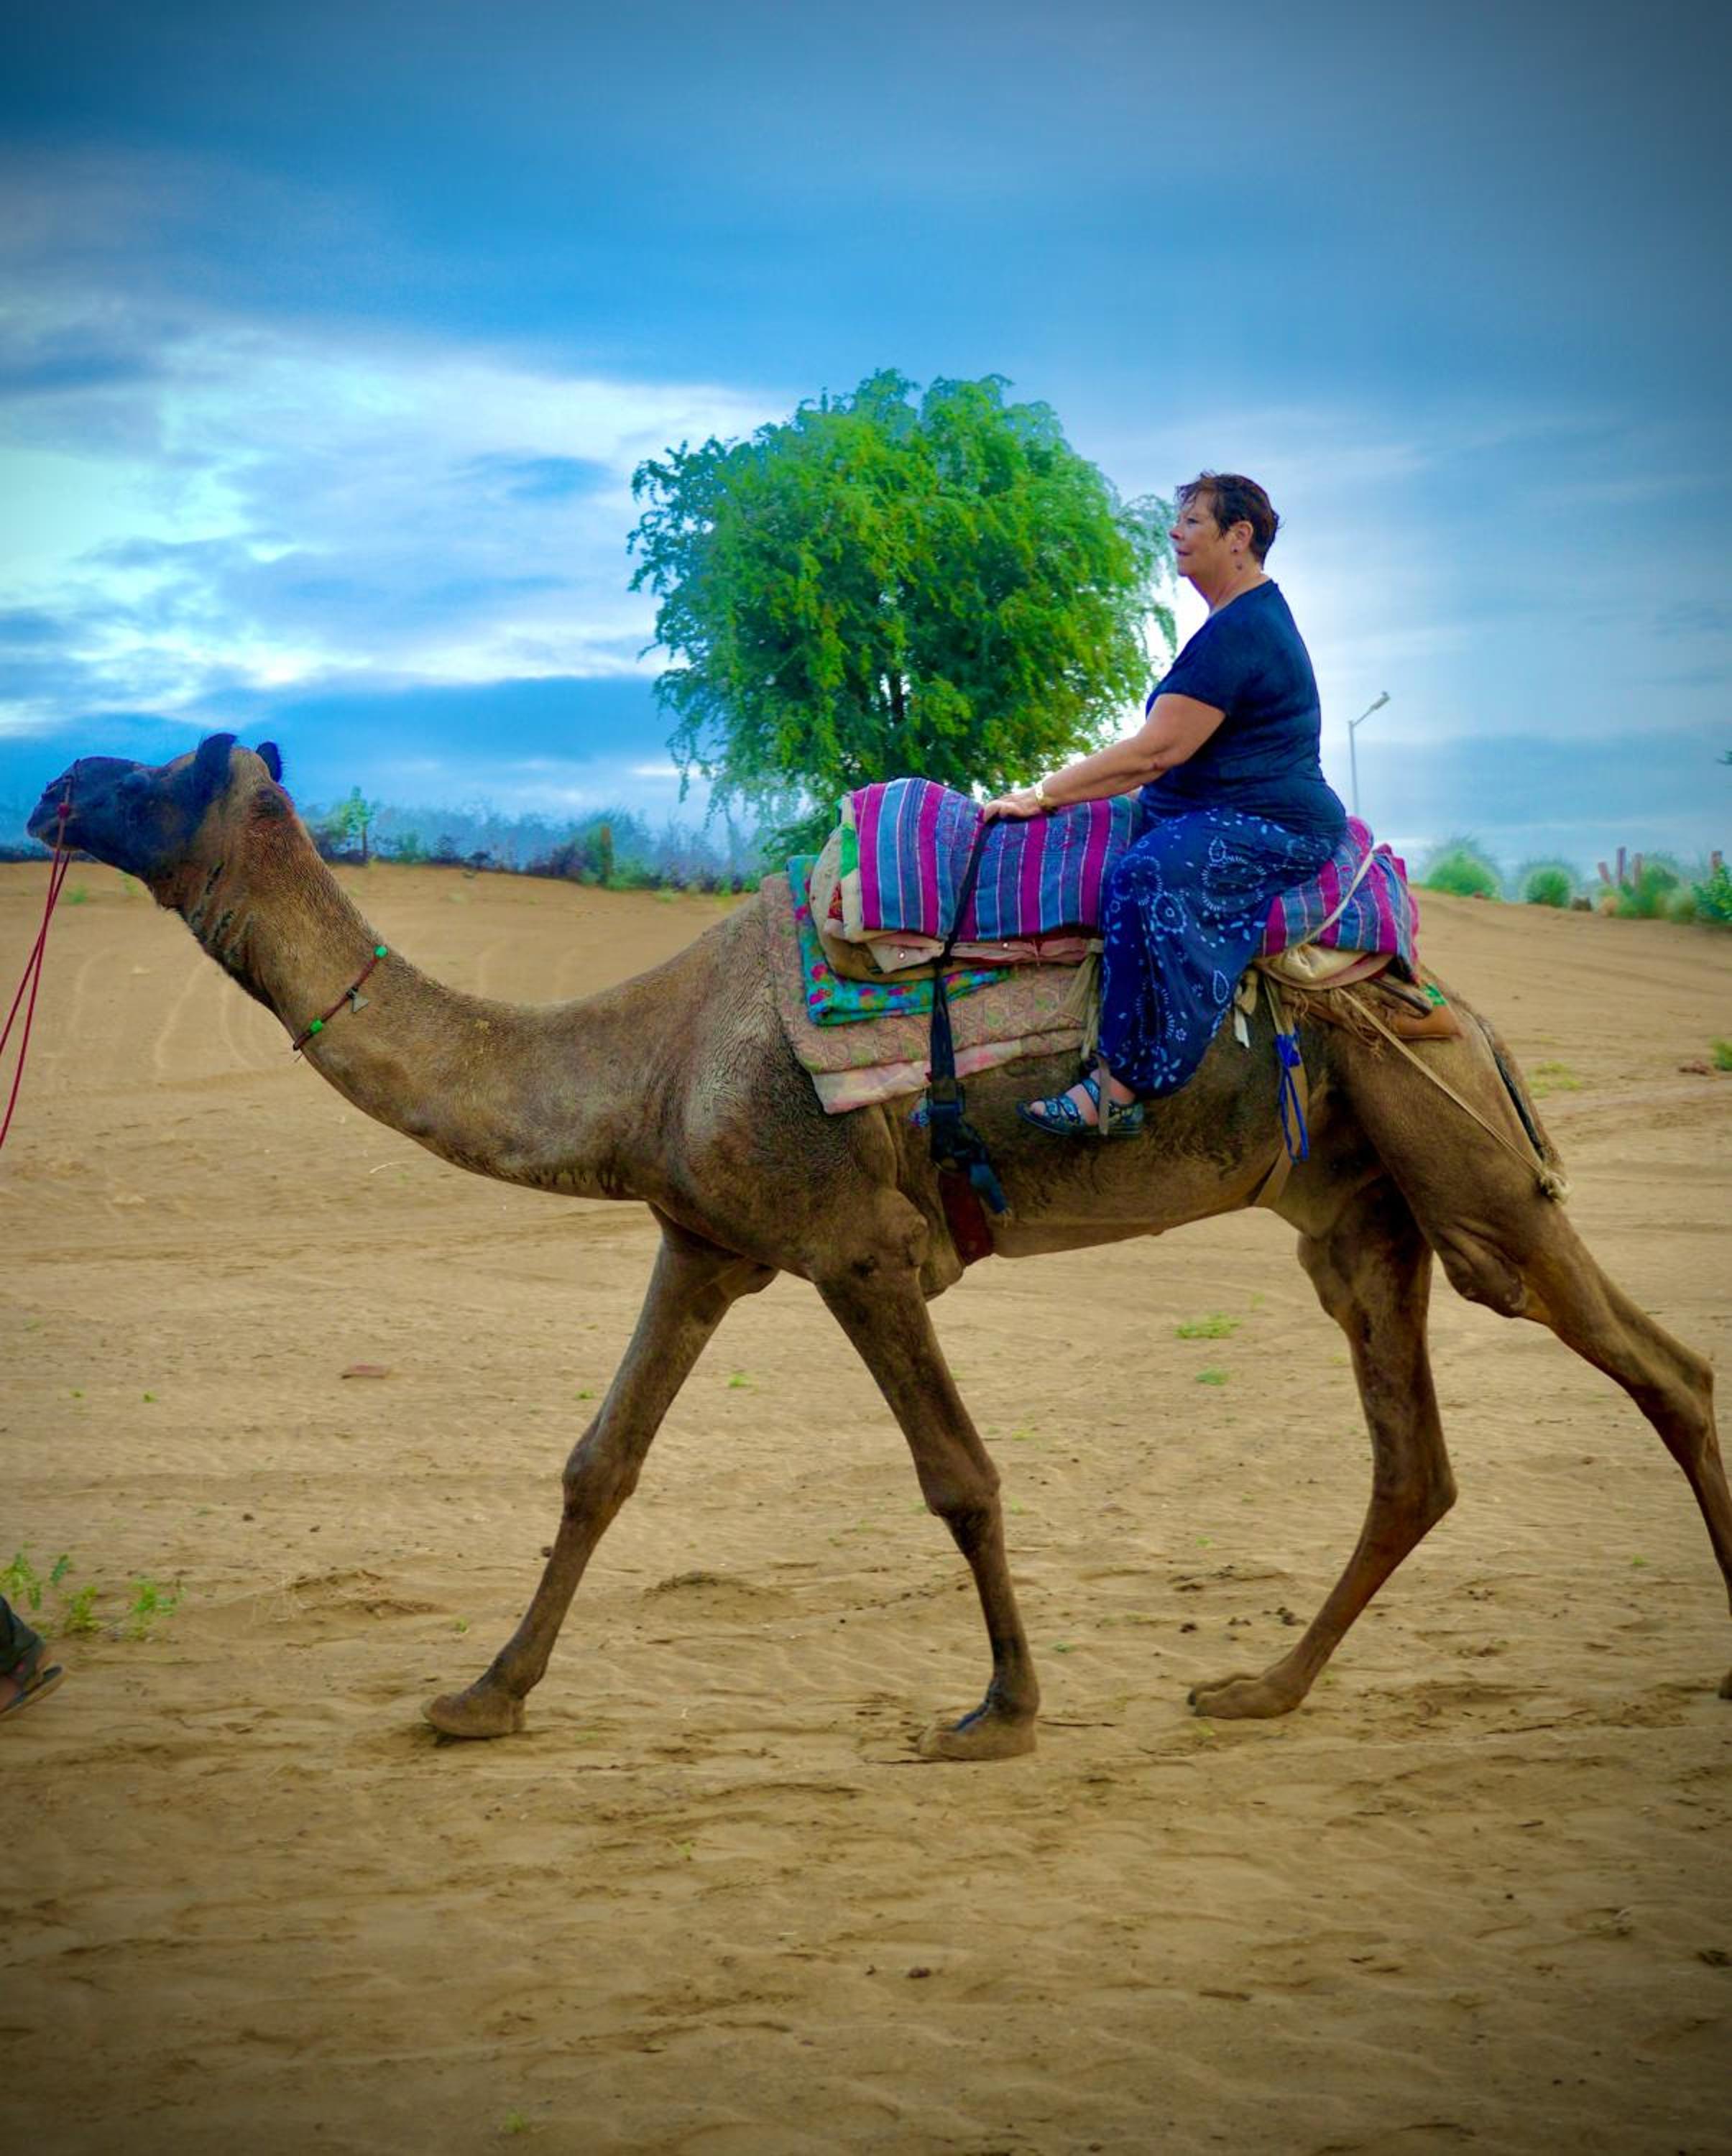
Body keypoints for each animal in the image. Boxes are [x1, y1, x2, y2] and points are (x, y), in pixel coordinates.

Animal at [28, 734, 1732, 1760]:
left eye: (165, 767)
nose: (53, 781)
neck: (649, 1054)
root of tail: (1446, 992)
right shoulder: (705, 1238)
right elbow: (598, 1466)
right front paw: (480, 1696)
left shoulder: (857, 1249)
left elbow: (959, 1477)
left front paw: (1002, 1709)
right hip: (1360, 1212)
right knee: (1413, 1466)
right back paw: (1260, 1686)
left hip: (1470, 1171)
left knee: (1661, 1366)